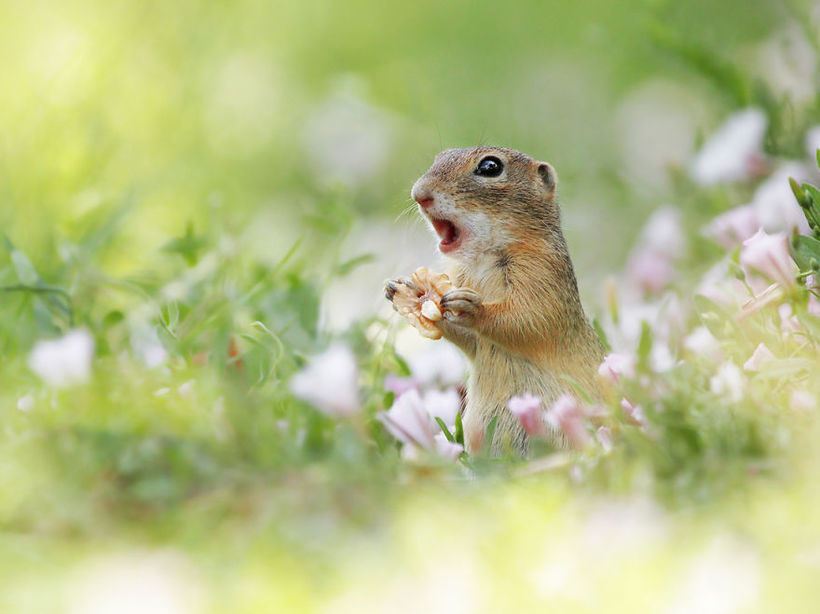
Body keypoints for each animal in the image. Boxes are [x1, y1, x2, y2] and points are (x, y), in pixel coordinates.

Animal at [382, 147, 604, 454]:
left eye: (490, 167)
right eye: (440, 156)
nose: (419, 194)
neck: (481, 259)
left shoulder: (542, 274)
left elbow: (528, 320)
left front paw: (471, 308)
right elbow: (471, 340)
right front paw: (402, 291)